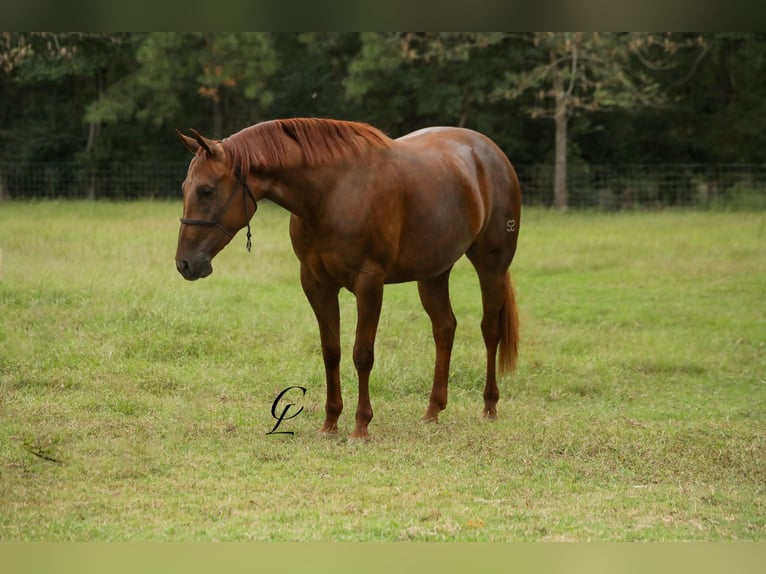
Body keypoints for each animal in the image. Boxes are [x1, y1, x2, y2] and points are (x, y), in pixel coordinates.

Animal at [176, 118, 520, 440]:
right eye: (184, 188)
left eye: (206, 190)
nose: (185, 263)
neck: (332, 192)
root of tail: (491, 153)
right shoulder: (317, 284)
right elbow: (331, 352)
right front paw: (330, 424)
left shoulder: (369, 284)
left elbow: (362, 354)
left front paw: (361, 426)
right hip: (434, 274)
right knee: (445, 329)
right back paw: (433, 410)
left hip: (491, 267)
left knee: (490, 331)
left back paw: (489, 406)